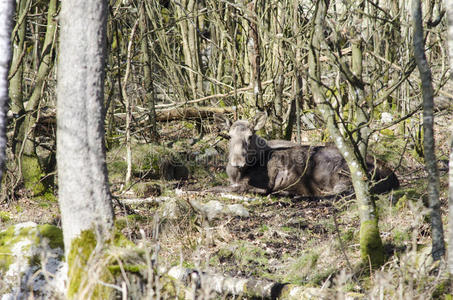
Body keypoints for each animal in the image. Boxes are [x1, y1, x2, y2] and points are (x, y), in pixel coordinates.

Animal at [221, 112, 398, 197]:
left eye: (250, 136)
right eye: (229, 136)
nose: (237, 161)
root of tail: (393, 177)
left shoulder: (266, 182)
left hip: (342, 173)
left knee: (339, 193)